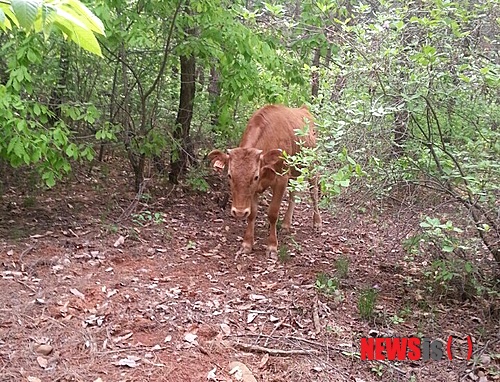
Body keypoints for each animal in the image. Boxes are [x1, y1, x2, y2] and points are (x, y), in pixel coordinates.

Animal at [208, 103, 322, 255]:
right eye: (229, 175)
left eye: (255, 176)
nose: (239, 212)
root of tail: (304, 109)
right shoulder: (254, 190)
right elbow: (252, 213)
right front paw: (247, 243)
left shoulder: (281, 179)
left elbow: (273, 213)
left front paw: (272, 246)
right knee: (293, 193)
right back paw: (286, 224)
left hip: (311, 166)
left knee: (313, 192)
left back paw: (317, 222)